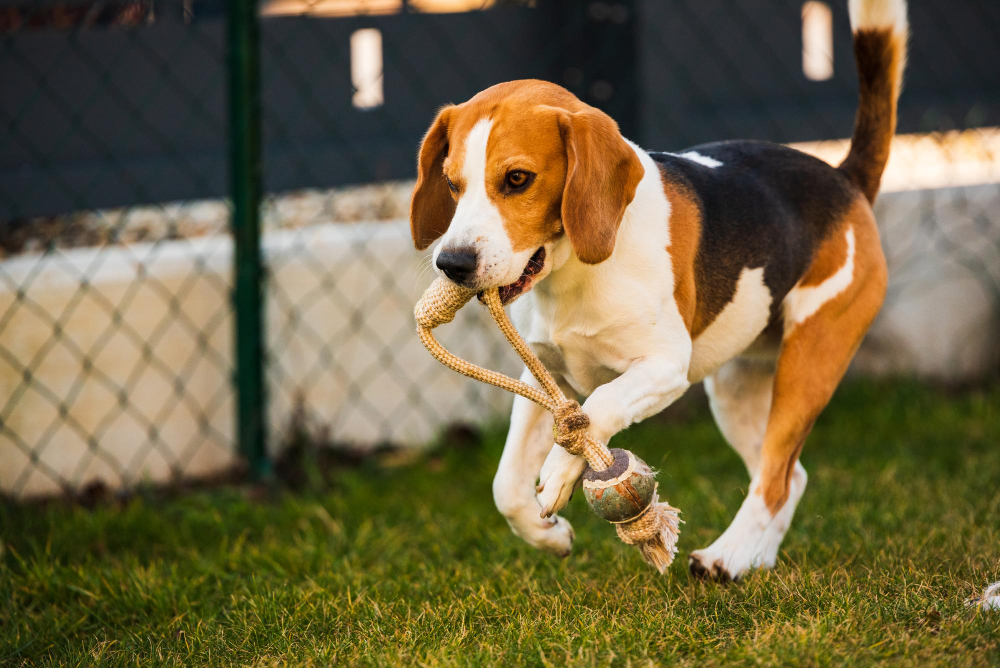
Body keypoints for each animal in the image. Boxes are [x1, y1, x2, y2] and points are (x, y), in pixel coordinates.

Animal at [410, 0, 912, 580]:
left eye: (517, 179)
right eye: (451, 183)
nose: (452, 264)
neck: (576, 273)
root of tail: (844, 177)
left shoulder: (665, 367)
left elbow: (600, 405)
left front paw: (561, 469)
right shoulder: (545, 376)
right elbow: (505, 486)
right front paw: (547, 535)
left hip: (809, 360)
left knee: (775, 476)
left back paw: (725, 556)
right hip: (736, 386)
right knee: (789, 475)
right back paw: (751, 557)